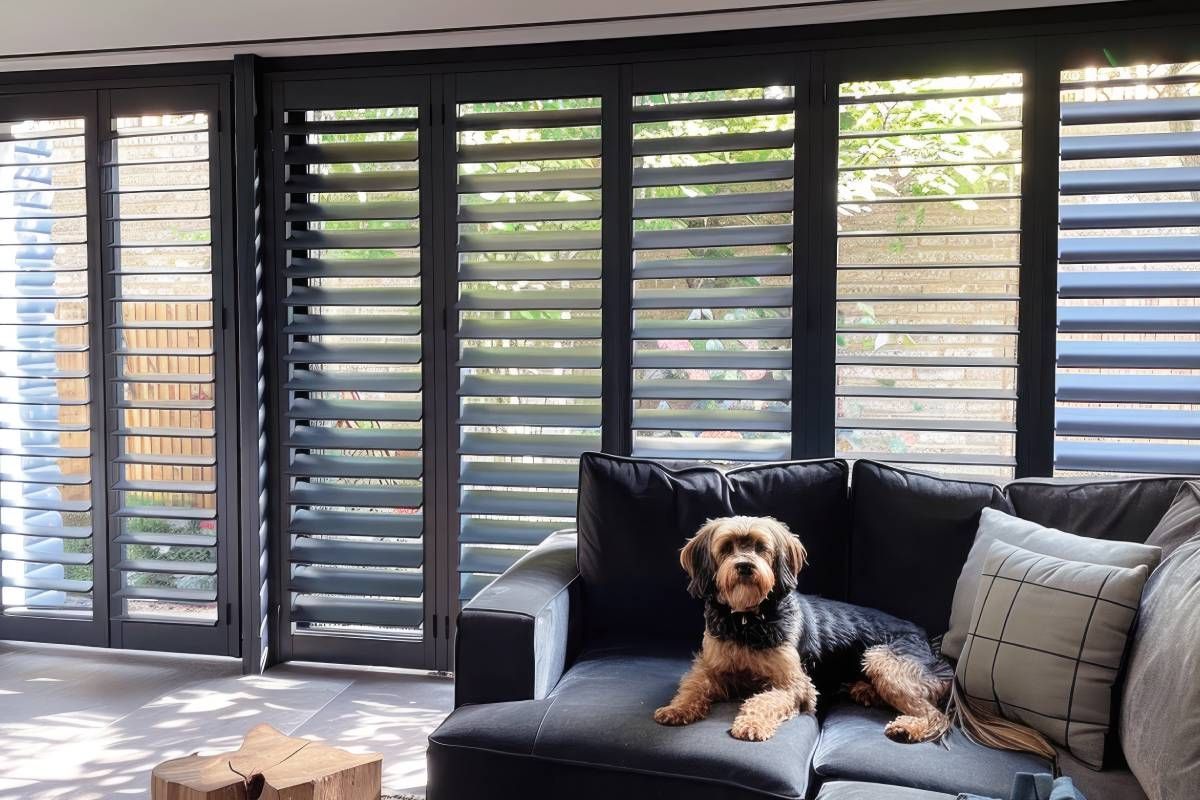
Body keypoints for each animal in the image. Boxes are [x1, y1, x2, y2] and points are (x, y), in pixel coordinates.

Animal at [652, 520, 950, 743]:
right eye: (726, 548)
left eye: (761, 548)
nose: (745, 566)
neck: (747, 619)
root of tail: (927, 640)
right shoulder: (709, 666)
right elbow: (693, 685)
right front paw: (677, 708)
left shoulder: (795, 684)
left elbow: (766, 700)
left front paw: (752, 724)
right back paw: (865, 691)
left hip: (883, 659)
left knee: (936, 715)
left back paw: (908, 727)